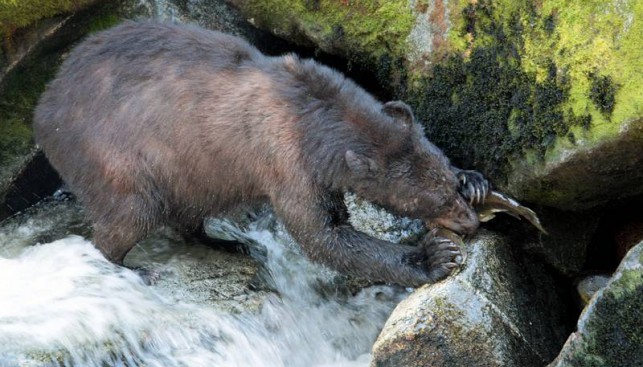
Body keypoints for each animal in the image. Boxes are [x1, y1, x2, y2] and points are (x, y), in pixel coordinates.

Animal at [34, 21, 488, 288]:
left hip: (190, 167)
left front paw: (477, 180)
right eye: (430, 200)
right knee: (131, 212)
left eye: (448, 185)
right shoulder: (288, 162)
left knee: (188, 209)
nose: (469, 223)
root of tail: (46, 103)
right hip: (113, 153)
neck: (315, 121)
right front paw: (434, 257)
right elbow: (324, 234)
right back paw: (131, 267)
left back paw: (226, 243)